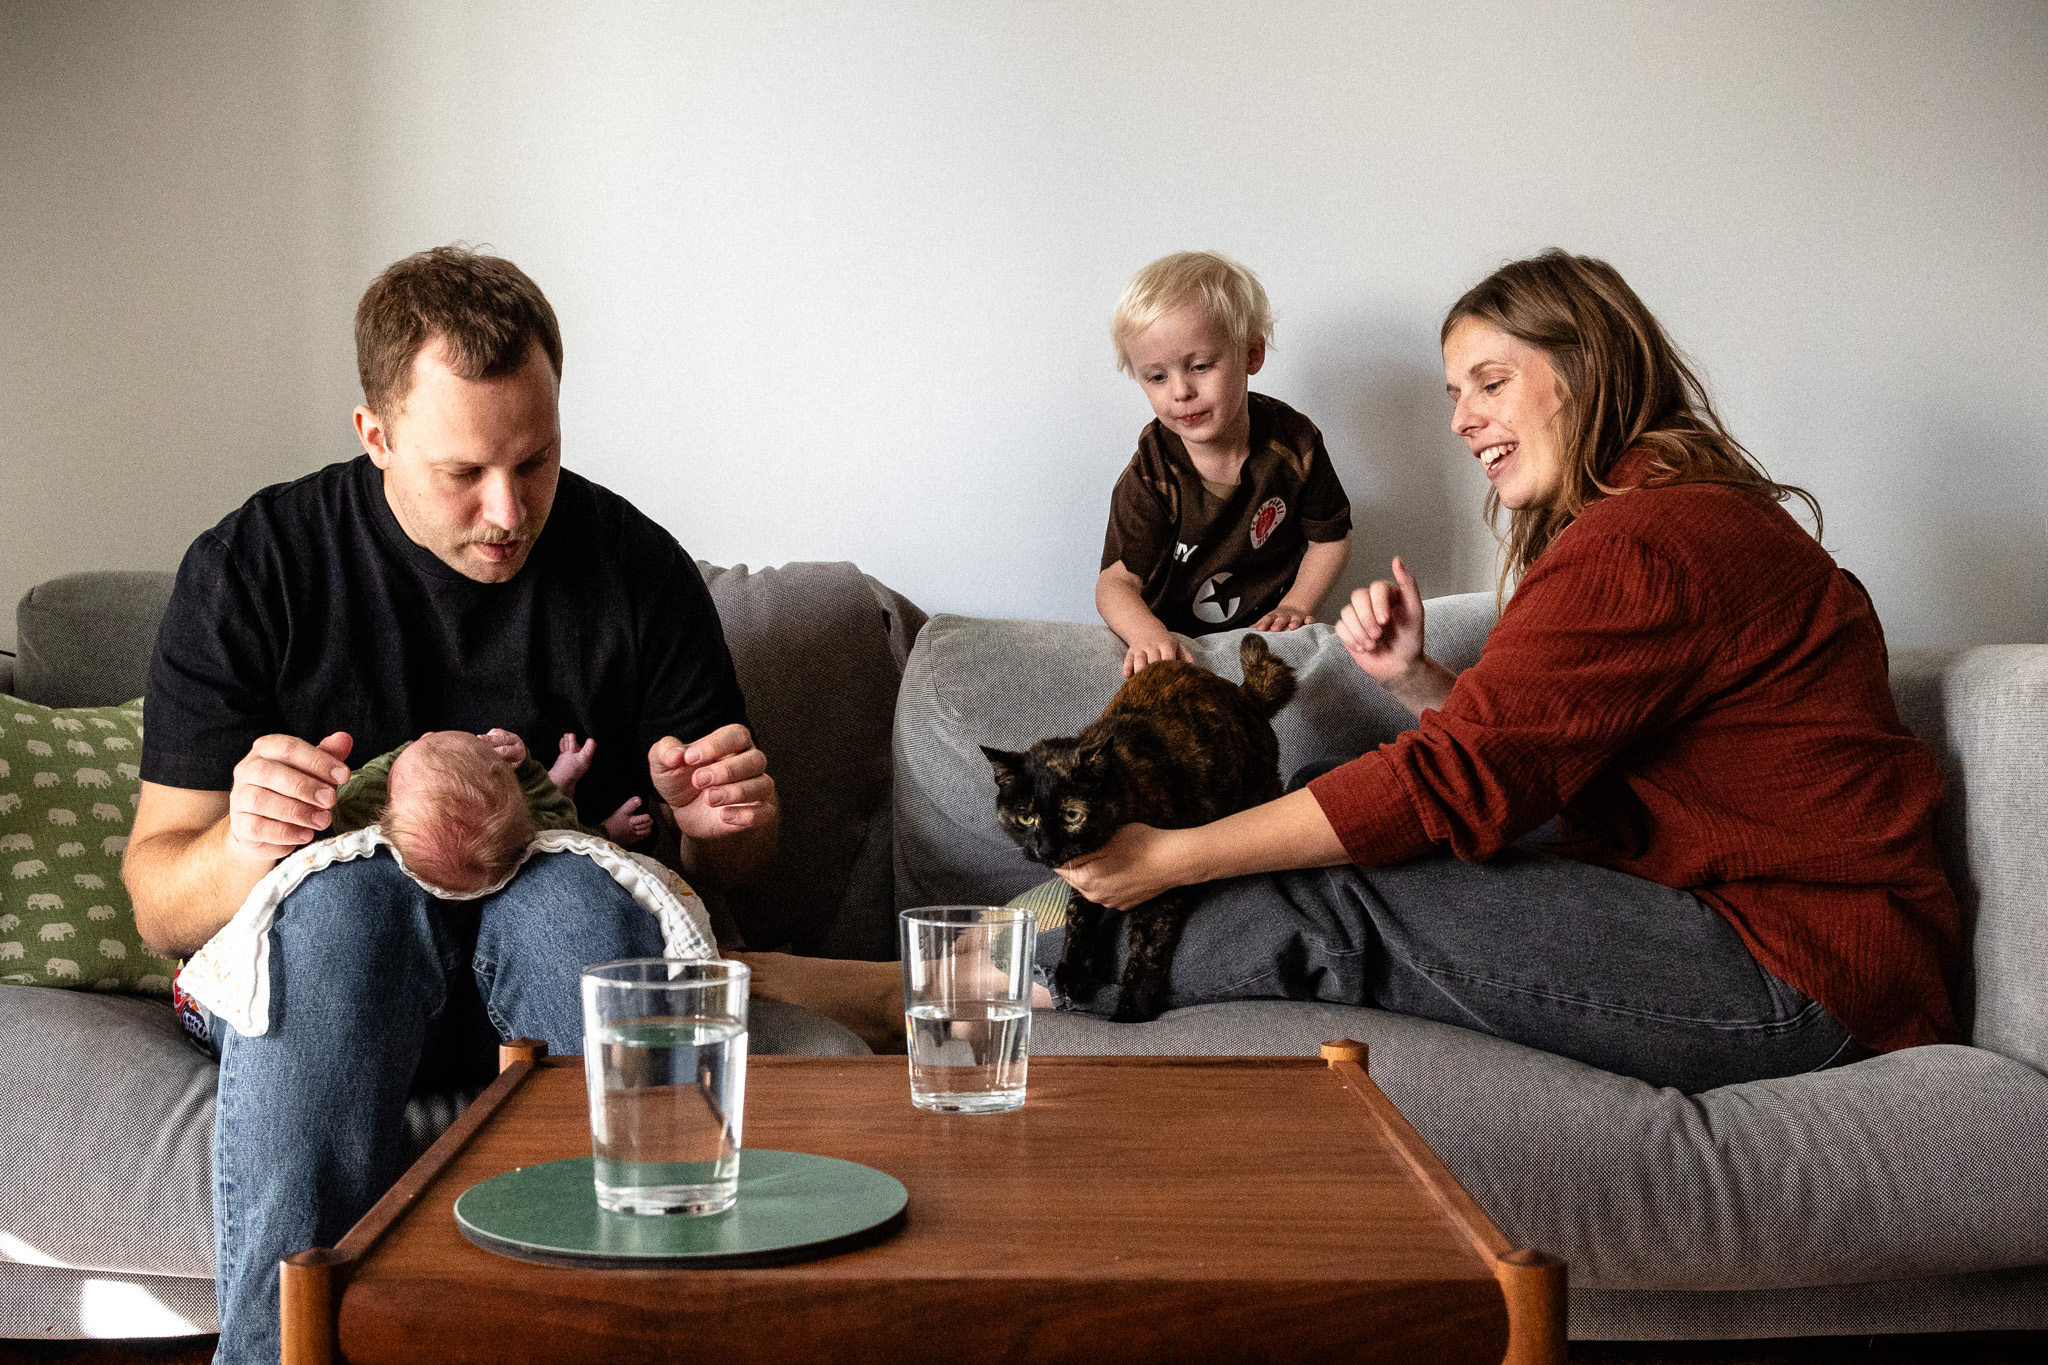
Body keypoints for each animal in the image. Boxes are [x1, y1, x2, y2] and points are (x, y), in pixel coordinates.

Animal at [978, 638, 1294, 1023]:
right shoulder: (1083, 883)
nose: (1046, 848)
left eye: (1071, 815)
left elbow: (1145, 953)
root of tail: (1244, 694)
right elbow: (1078, 917)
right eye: (1025, 818)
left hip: (1258, 790)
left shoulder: (1163, 887)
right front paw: (1072, 974)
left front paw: (1129, 1014)